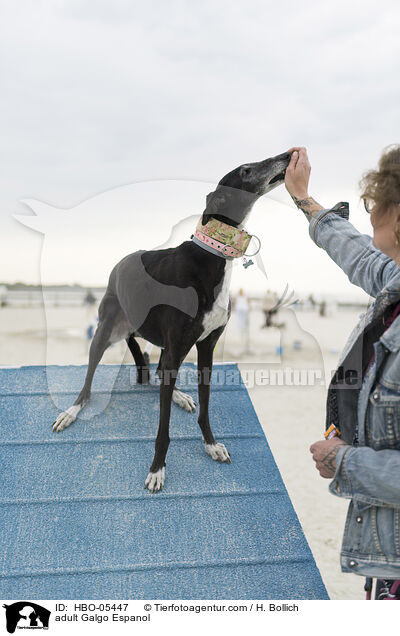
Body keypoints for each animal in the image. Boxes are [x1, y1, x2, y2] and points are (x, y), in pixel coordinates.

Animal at [53, 150, 290, 492]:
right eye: (246, 170)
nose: (288, 155)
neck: (212, 256)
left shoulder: (206, 348)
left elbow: (204, 406)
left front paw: (211, 444)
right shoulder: (179, 345)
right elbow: (162, 430)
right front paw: (157, 469)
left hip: (163, 344)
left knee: (158, 374)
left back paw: (178, 395)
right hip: (105, 330)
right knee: (89, 381)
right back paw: (71, 411)